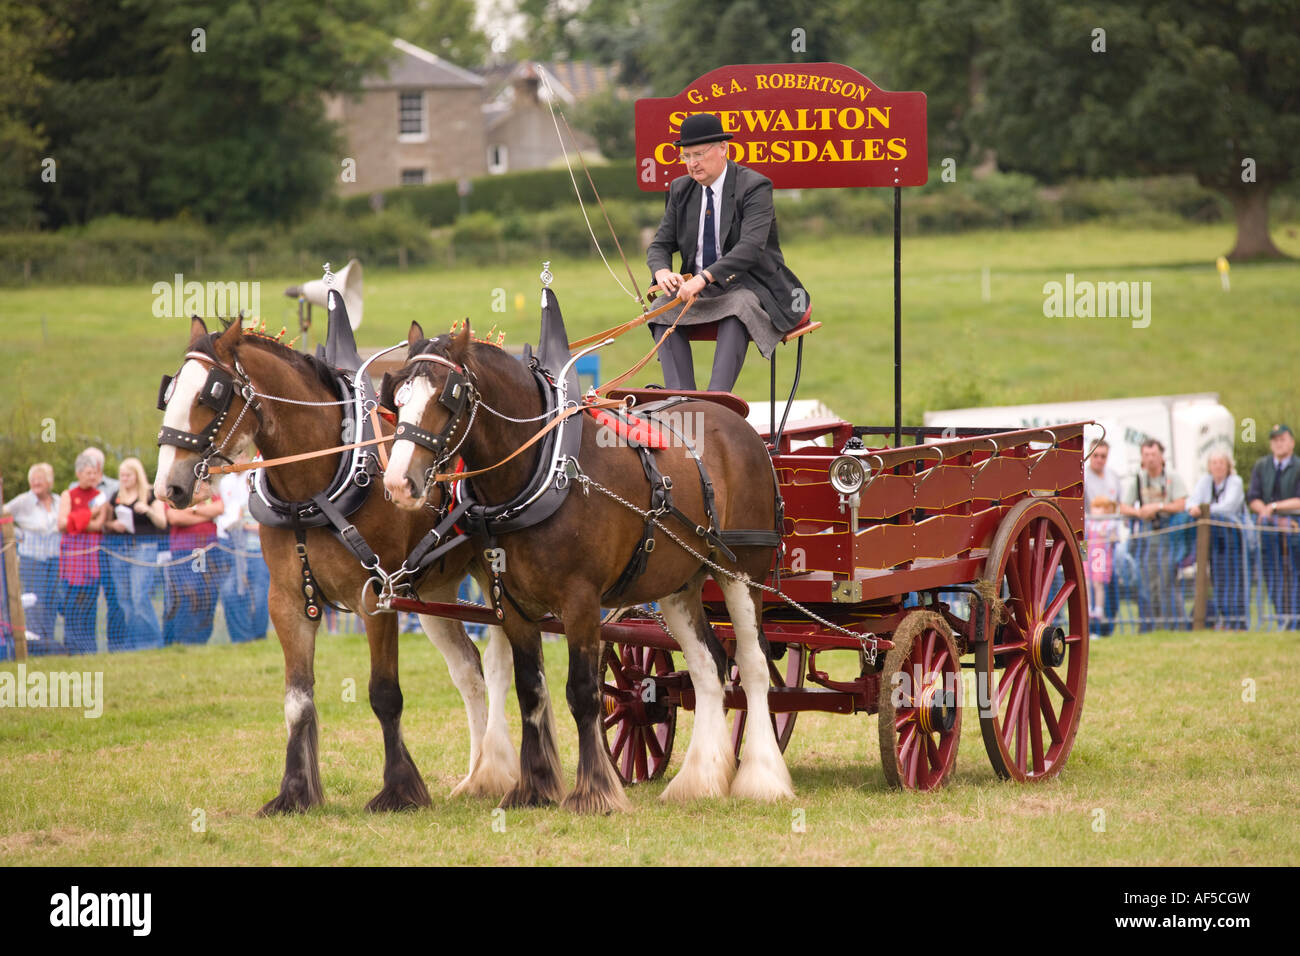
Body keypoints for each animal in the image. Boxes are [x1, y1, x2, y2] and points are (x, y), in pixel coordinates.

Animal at [153, 316, 518, 813]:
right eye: (169, 393)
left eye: (209, 396)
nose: (166, 487)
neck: (317, 486)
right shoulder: (288, 601)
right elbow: (297, 700)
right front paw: (294, 793)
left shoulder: (376, 598)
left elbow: (384, 695)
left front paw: (399, 790)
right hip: (434, 593)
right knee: (469, 672)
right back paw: (477, 776)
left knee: (502, 665)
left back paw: (501, 770)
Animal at [382, 320, 791, 813]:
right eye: (397, 398)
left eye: (448, 399)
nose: (397, 483)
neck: (544, 472)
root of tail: (745, 428)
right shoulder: (514, 605)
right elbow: (530, 689)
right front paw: (534, 788)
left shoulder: (580, 601)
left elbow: (581, 692)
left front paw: (593, 793)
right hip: (679, 583)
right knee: (708, 665)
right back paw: (700, 779)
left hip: (743, 573)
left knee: (753, 664)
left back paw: (762, 778)